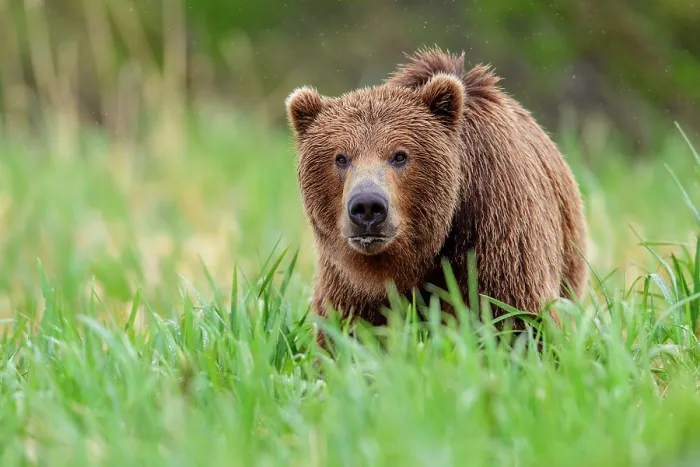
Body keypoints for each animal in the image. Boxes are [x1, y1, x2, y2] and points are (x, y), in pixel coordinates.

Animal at [285, 47, 588, 347]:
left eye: (400, 155)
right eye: (341, 157)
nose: (368, 206)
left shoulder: (496, 231)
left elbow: (517, 319)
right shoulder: (347, 281)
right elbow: (350, 332)